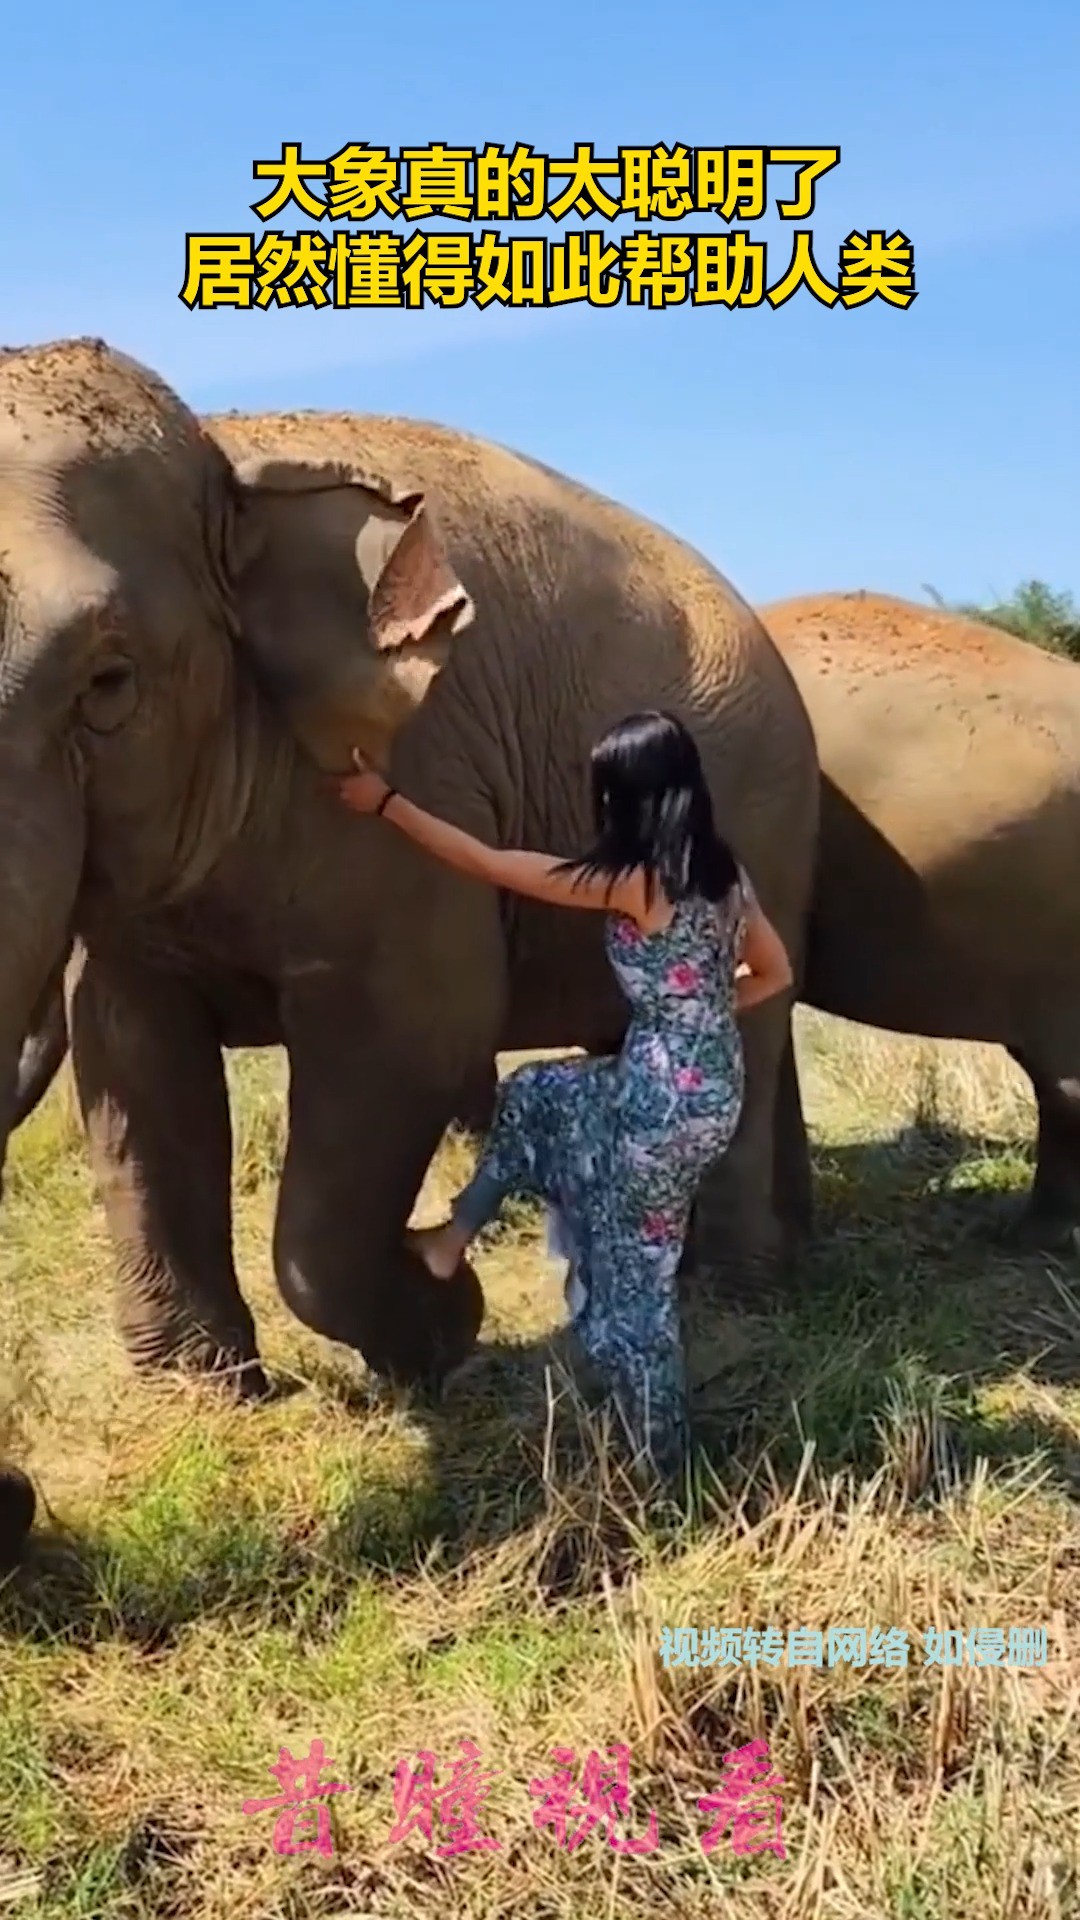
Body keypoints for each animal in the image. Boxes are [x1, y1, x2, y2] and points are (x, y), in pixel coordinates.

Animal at [0, 337, 814, 1405]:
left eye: (106, 683)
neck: (224, 460)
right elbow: (132, 1062)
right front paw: (203, 1390)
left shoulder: (410, 786)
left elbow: (415, 1031)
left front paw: (442, 1320)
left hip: (760, 801)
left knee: (750, 1027)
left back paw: (731, 1293)